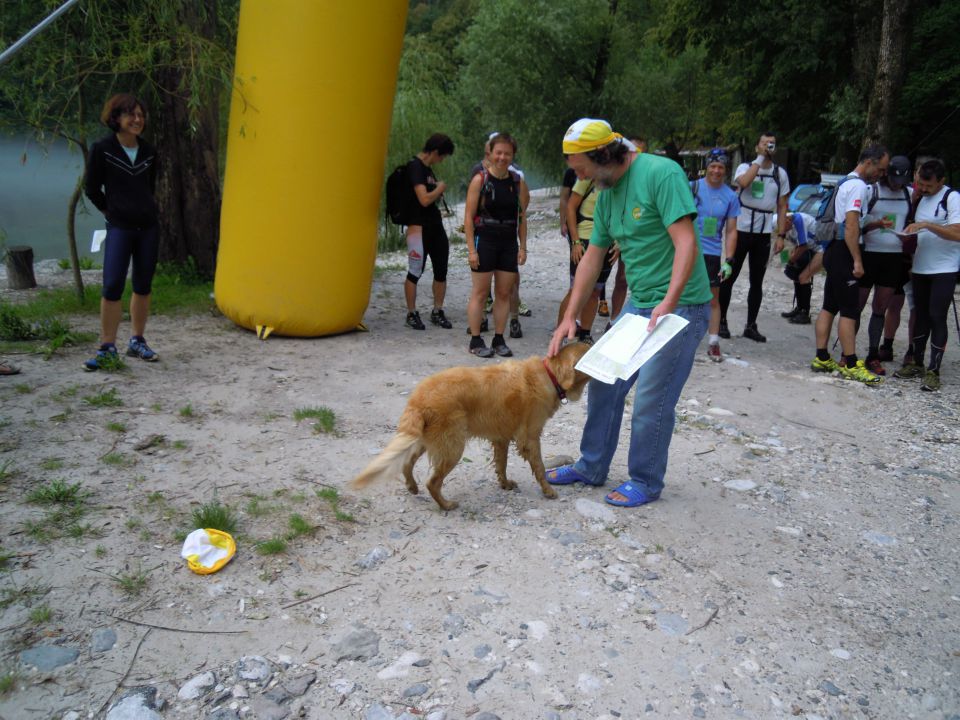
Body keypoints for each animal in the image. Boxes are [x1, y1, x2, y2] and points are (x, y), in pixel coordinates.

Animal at [352, 344, 592, 512]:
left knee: (407, 463)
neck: (549, 375)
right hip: (453, 448)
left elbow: (502, 465)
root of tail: (418, 399)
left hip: (426, 440)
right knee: (432, 482)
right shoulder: (530, 438)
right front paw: (548, 491)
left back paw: (412, 487)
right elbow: (540, 468)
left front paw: (505, 484)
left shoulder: (501, 438)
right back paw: (446, 505)